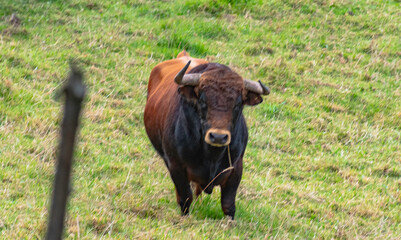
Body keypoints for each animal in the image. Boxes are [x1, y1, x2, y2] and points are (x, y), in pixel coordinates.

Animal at [144, 50, 268, 219]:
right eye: (202, 100)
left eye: (238, 104)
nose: (218, 137)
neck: (211, 155)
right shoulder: (176, 166)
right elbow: (185, 197)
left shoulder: (236, 168)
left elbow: (228, 204)